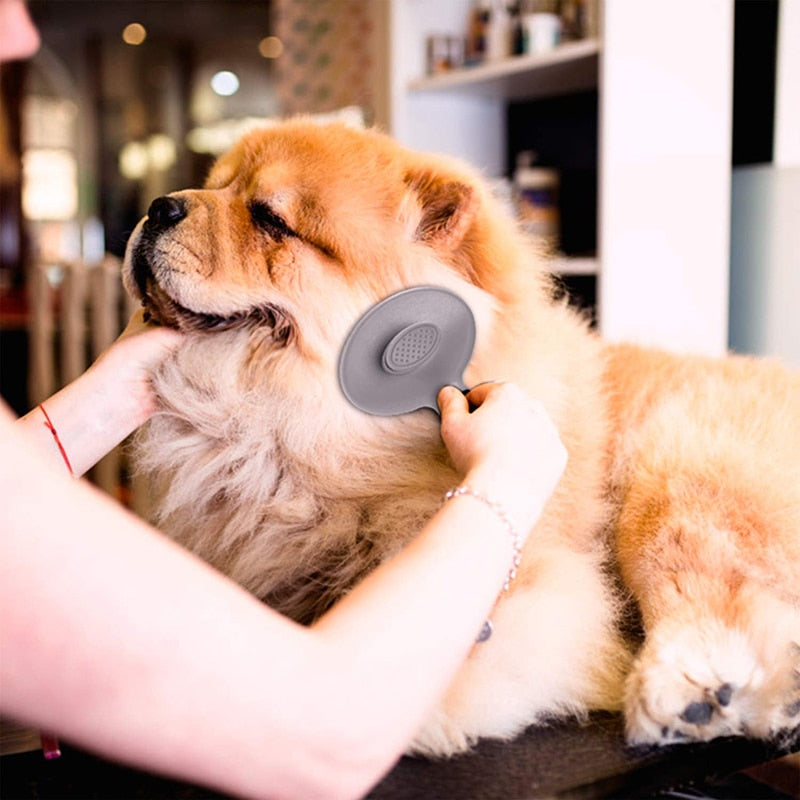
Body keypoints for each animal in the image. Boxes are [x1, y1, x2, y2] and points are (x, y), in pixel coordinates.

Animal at [120, 119, 800, 756]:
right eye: (214, 186)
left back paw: (687, 696)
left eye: (270, 218)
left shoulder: (532, 582)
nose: (158, 205)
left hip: (669, 476)